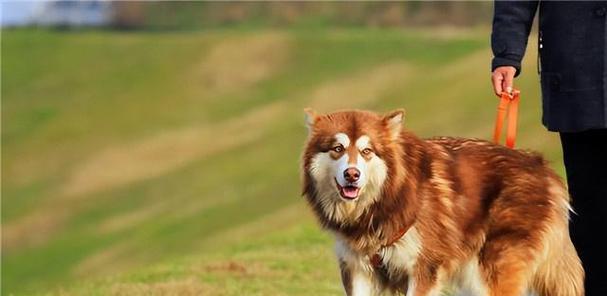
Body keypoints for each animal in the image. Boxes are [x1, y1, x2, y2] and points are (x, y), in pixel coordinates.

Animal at [302, 109, 584, 296]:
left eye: (366, 151)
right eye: (337, 148)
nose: (352, 174)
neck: (385, 201)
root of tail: (543, 167)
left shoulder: (423, 270)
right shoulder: (357, 269)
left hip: (493, 271)